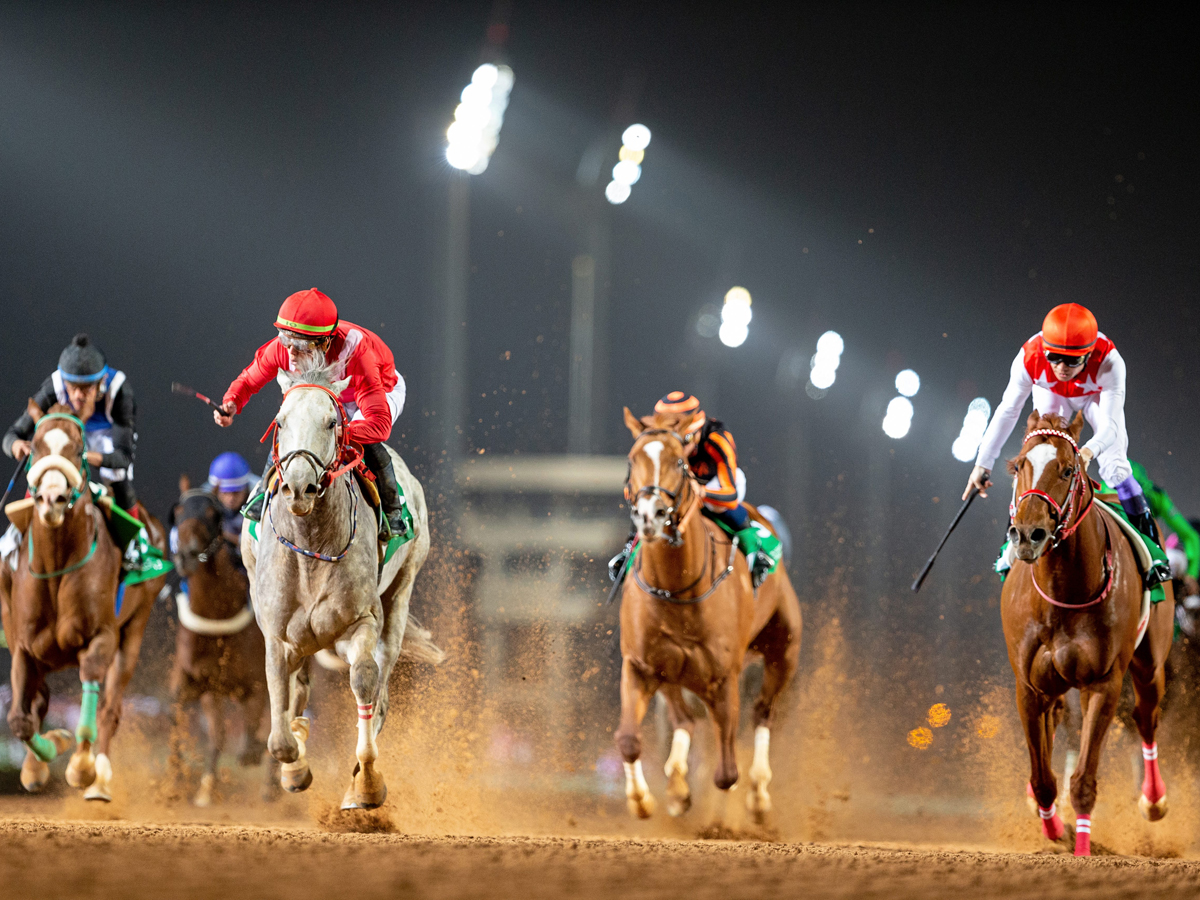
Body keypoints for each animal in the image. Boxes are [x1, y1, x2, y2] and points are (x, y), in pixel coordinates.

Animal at [0, 405, 170, 801]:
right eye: (35, 445)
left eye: (78, 449)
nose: (52, 499)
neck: (57, 565)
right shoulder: (23, 645)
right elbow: (19, 719)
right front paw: (44, 757)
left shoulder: (102, 635)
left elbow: (93, 688)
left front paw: (81, 767)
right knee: (39, 698)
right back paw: (35, 765)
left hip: (135, 629)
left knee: (111, 707)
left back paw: (100, 779)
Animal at [169, 489, 274, 806]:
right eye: (178, 512)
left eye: (211, 514)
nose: (187, 555)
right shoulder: (196, 681)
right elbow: (178, 717)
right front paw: (179, 783)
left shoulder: (256, 683)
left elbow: (255, 730)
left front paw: (253, 753)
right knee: (218, 732)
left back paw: (271, 786)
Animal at [246, 364, 444, 811]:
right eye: (280, 422)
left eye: (332, 422)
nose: (299, 487)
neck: (311, 547)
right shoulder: (277, 635)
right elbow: (279, 732)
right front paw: (295, 767)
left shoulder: (361, 622)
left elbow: (365, 682)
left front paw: (365, 785)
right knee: (299, 689)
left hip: (401, 591)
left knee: (381, 690)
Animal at [614, 408, 801, 825]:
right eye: (632, 460)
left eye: (678, 462)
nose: (650, 515)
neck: (678, 589)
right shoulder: (640, 665)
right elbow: (629, 741)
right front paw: (644, 800)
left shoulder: (724, 675)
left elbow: (726, 771)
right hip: (672, 675)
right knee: (685, 720)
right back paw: (677, 786)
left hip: (783, 651)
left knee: (762, 713)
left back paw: (758, 795)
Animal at [1003, 412, 1171, 854]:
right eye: (1018, 466)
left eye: (1066, 469)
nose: (1028, 534)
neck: (1063, 592)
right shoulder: (1029, 686)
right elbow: (1043, 779)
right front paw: (1054, 830)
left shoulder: (1103, 682)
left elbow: (1083, 782)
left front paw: (1081, 848)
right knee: (1057, 721)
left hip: (1150, 666)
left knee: (1146, 717)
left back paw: (1154, 800)